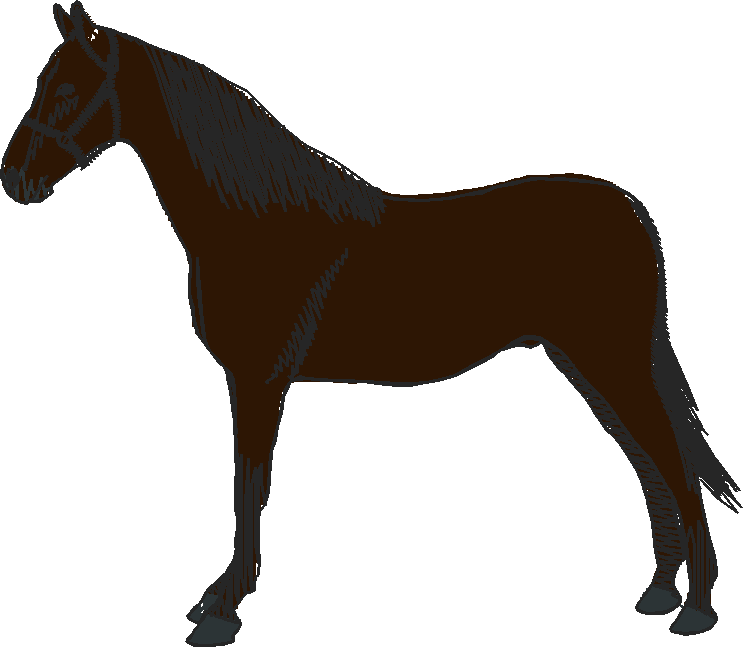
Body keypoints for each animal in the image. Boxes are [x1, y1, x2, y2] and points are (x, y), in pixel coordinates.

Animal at [3, 4, 739, 644]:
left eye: (67, 90)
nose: (13, 179)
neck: (254, 223)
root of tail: (631, 211)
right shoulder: (249, 381)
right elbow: (245, 482)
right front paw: (215, 596)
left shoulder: (260, 379)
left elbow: (248, 484)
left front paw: (224, 610)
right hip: (585, 366)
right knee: (649, 466)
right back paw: (658, 590)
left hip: (611, 362)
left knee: (673, 467)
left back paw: (695, 609)